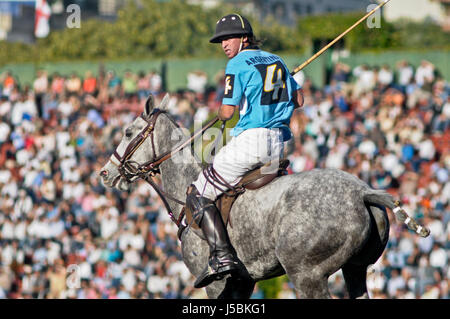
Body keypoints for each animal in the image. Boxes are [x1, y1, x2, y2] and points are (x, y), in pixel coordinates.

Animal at [99, 95, 428, 300]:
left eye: (127, 132)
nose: (105, 172)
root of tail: (363, 193)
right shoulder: (242, 282)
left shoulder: (218, 283)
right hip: (356, 268)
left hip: (306, 273)